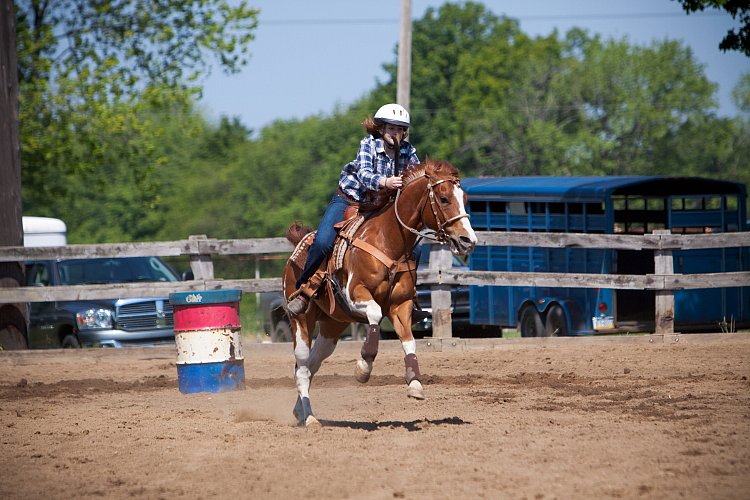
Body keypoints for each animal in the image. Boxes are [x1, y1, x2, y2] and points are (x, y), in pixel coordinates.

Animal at [282, 159, 476, 426]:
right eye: (444, 198)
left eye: (464, 197)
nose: (469, 240)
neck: (388, 241)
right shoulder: (355, 294)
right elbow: (374, 314)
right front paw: (364, 366)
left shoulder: (401, 305)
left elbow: (409, 341)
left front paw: (415, 384)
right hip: (301, 321)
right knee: (301, 367)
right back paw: (310, 418)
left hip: (332, 327)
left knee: (312, 365)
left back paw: (300, 411)